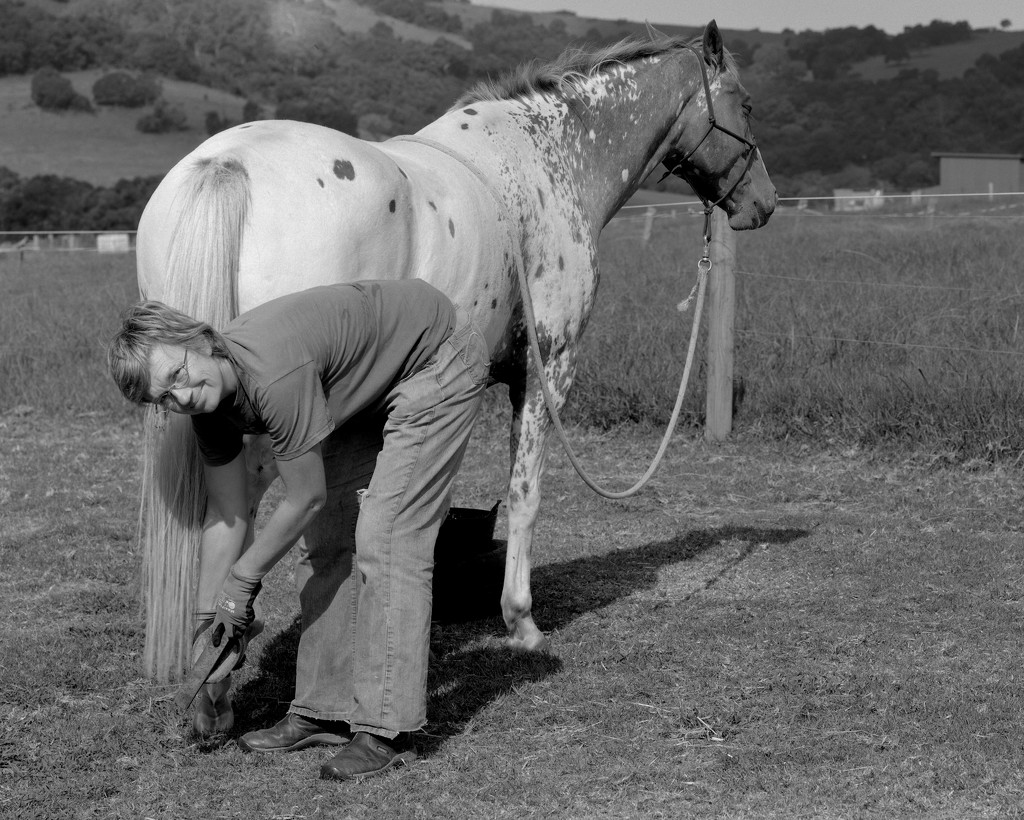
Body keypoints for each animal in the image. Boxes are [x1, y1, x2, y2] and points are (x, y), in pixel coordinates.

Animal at [134, 17, 774, 724]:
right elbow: (525, 495)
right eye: (746, 104)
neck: (547, 161)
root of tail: (225, 165)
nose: (763, 204)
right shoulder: (546, 372)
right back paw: (218, 675)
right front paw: (520, 622)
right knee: (246, 504)